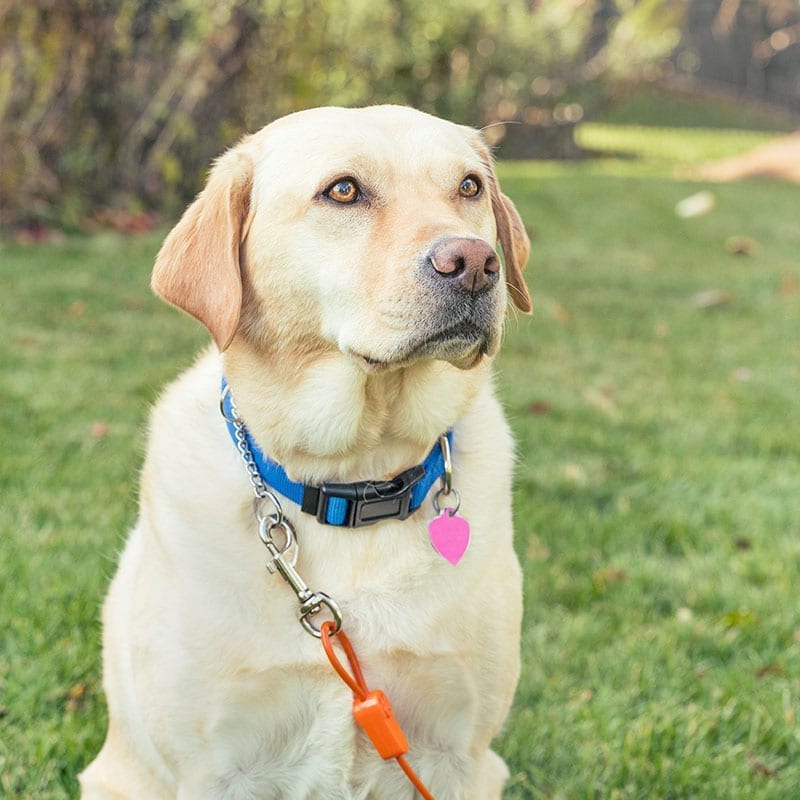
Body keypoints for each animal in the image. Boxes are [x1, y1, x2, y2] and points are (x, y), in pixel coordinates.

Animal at [81, 106, 532, 800]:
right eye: (342, 190)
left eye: (469, 187)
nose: (476, 261)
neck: (357, 479)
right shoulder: (214, 768)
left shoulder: (461, 755)